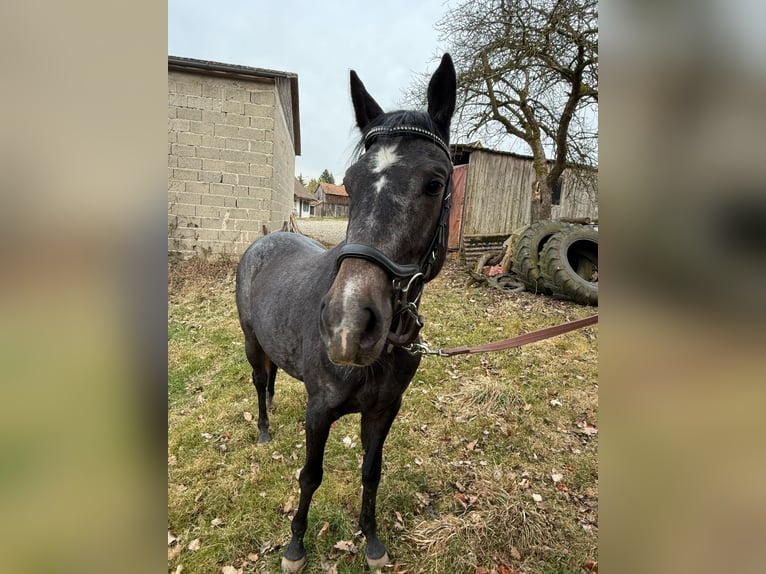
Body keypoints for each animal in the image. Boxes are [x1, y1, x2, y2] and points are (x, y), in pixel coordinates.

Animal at [236, 53, 456, 572]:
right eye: (351, 185)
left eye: (435, 183)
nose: (347, 327)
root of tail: (263, 240)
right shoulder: (319, 411)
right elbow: (310, 475)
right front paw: (295, 546)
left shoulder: (384, 410)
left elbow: (372, 472)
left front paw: (371, 540)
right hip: (251, 344)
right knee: (258, 380)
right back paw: (264, 430)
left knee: (271, 378)